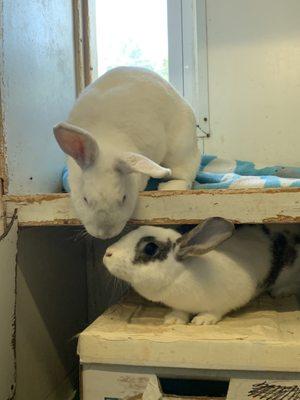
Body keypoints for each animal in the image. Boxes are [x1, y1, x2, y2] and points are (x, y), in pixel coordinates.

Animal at [54, 67, 199, 239]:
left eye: (124, 198)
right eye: (85, 199)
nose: (105, 234)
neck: (106, 142)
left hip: (181, 151)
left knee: (186, 177)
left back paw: (168, 187)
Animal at [102, 219, 300, 324]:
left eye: (151, 248)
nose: (107, 253)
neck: (182, 276)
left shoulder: (230, 298)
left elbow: (216, 311)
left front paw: (202, 320)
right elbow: (180, 312)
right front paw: (173, 319)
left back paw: (282, 291)